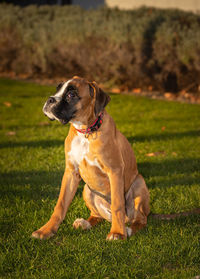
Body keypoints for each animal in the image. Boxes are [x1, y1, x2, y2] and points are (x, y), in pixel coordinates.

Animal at [31, 76, 150, 241]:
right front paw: (46, 230)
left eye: (71, 95)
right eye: (58, 89)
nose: (50, 100)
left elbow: (117, 204)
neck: (86, 131)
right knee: (96, 215)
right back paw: (85, 223)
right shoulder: (71, 173)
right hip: (87, 189)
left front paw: (117, 233)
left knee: (141, 219)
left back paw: (128, 229)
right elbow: (61, 204)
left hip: (139, 183)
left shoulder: (115, 171)